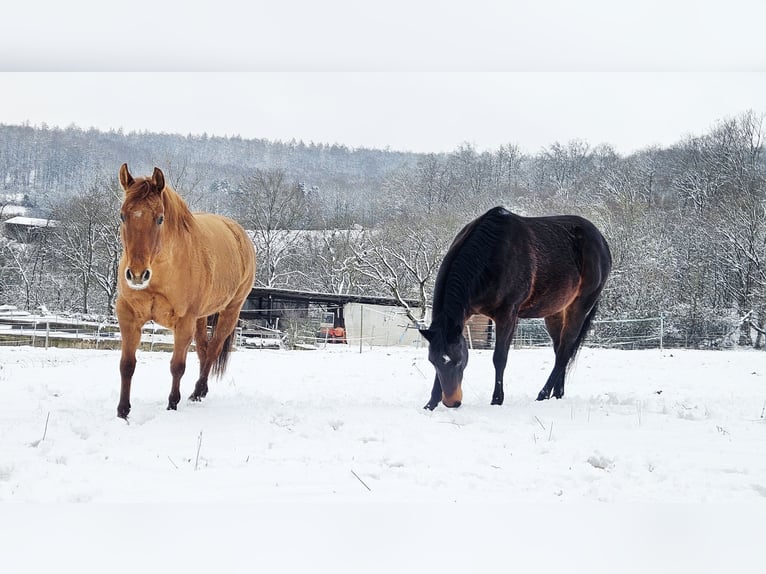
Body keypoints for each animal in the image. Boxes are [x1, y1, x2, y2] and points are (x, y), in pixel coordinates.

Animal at [115, 164, 256, 419]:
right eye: (123, 215)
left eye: (160, 218)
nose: (137, 275)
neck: (161, 274)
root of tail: (239, 233)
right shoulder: (128, 316)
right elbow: (127, 365)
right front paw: (123, 411)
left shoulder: (184, 321)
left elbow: (177, 366)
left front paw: (172, 404)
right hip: (201, 319)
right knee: (203, 349)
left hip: (229, 312)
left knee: (213, 350)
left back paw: (198, 392)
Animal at [420, 206, 611, 410]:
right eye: (433, 362)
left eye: (458, 361)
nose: (451, 402)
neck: (489, 256)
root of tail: (601, 241)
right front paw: (431, 404)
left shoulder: (507, 315)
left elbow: (500, 358)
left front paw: (497, 400)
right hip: (556, 312)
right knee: (561, 349)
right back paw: (557, 394)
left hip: (580, 306)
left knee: (564, 352)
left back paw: (542, 394)